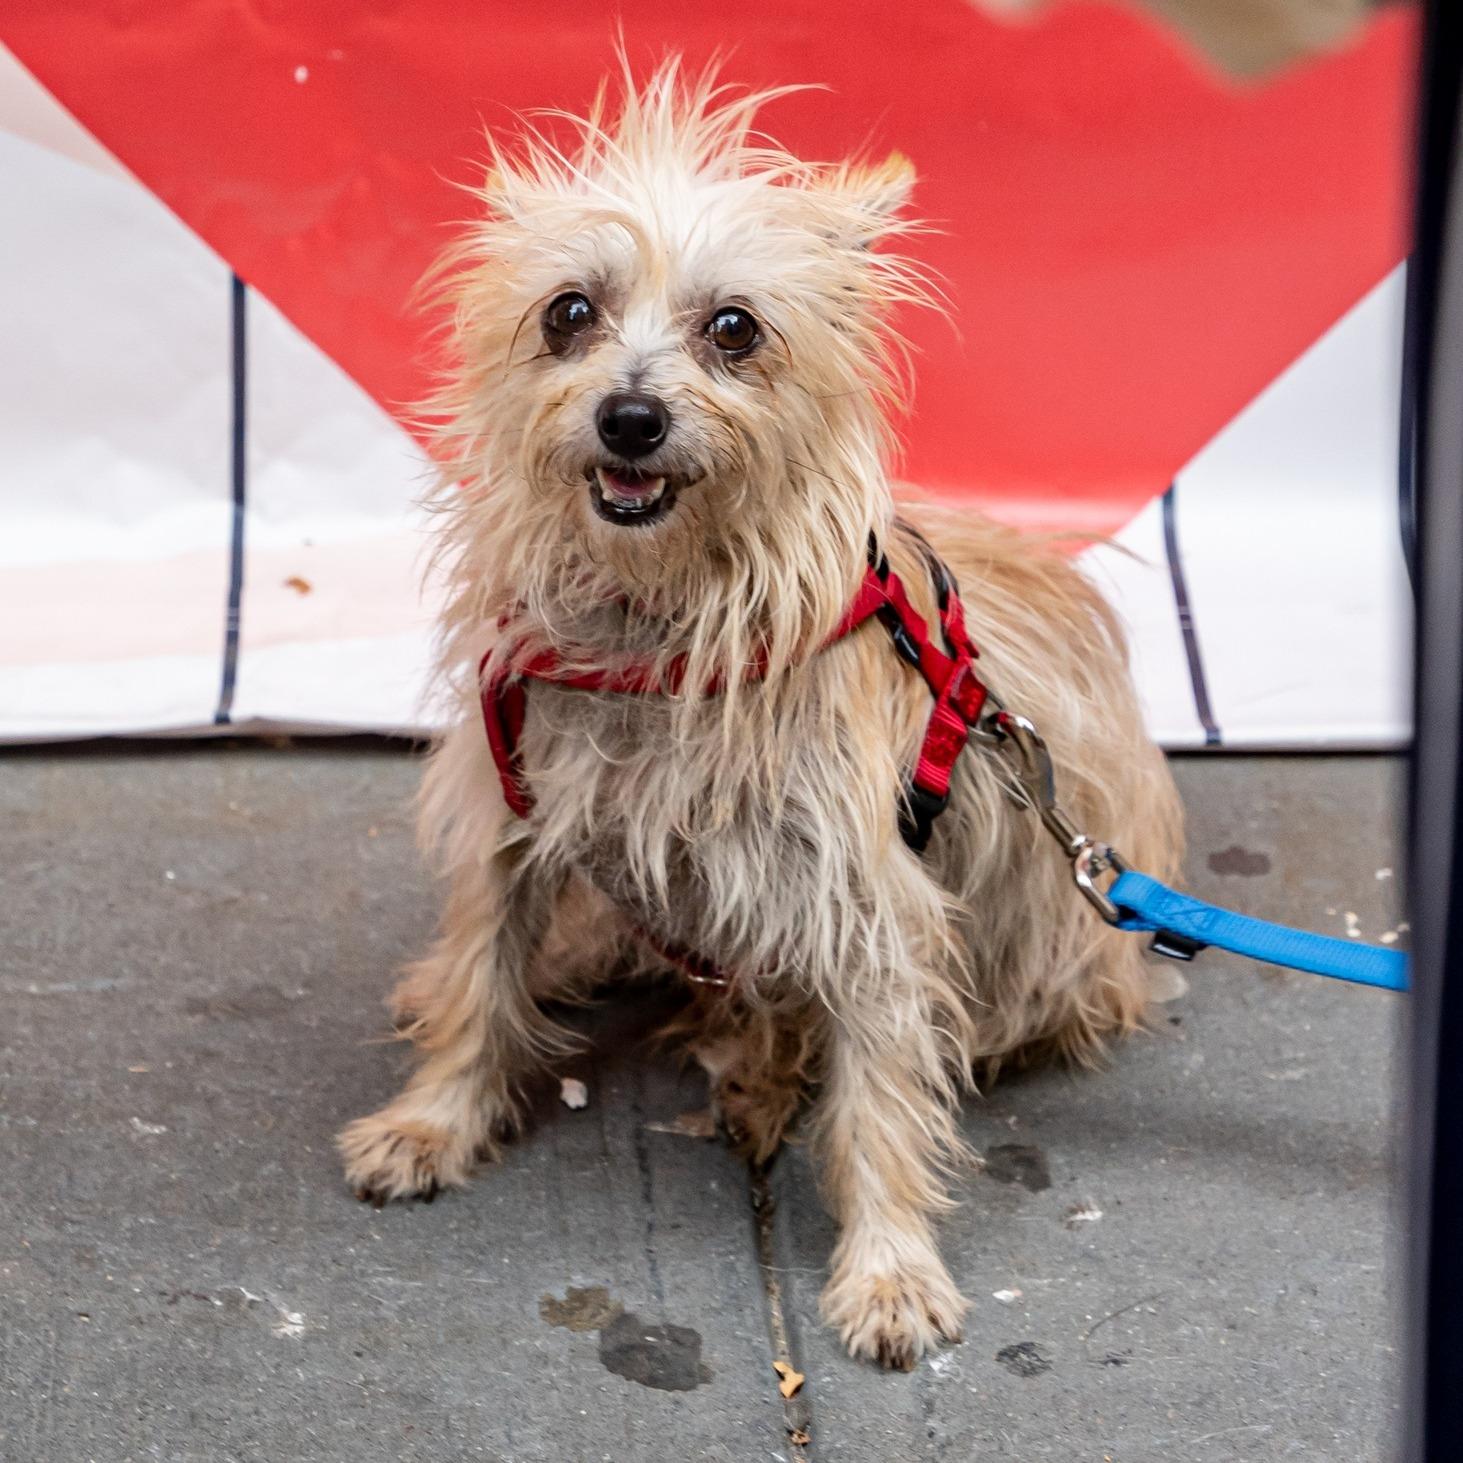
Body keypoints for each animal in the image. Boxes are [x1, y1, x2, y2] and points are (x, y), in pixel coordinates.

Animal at [336, 62, 1182, 1369]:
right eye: (567, 313)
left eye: (734, 328)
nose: (630, 417)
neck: (656, 627)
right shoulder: (513, 828)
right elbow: (483, 980)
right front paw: (432, 1120)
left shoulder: (870, 904)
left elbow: (880, 1096)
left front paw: (888, 1268)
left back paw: (762, 1066)